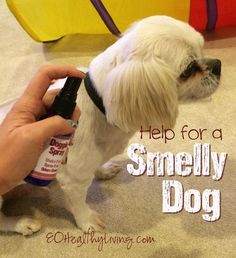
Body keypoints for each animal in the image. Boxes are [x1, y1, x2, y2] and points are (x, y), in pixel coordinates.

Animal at [0, 15, 221, 235]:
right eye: (189, 70)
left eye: (202, 48)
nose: (218, 64)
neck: (102, 109)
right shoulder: (73, 180)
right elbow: (78, 205)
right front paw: (87, 221)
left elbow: (97, 166)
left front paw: (103, 171)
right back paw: (22, 223)